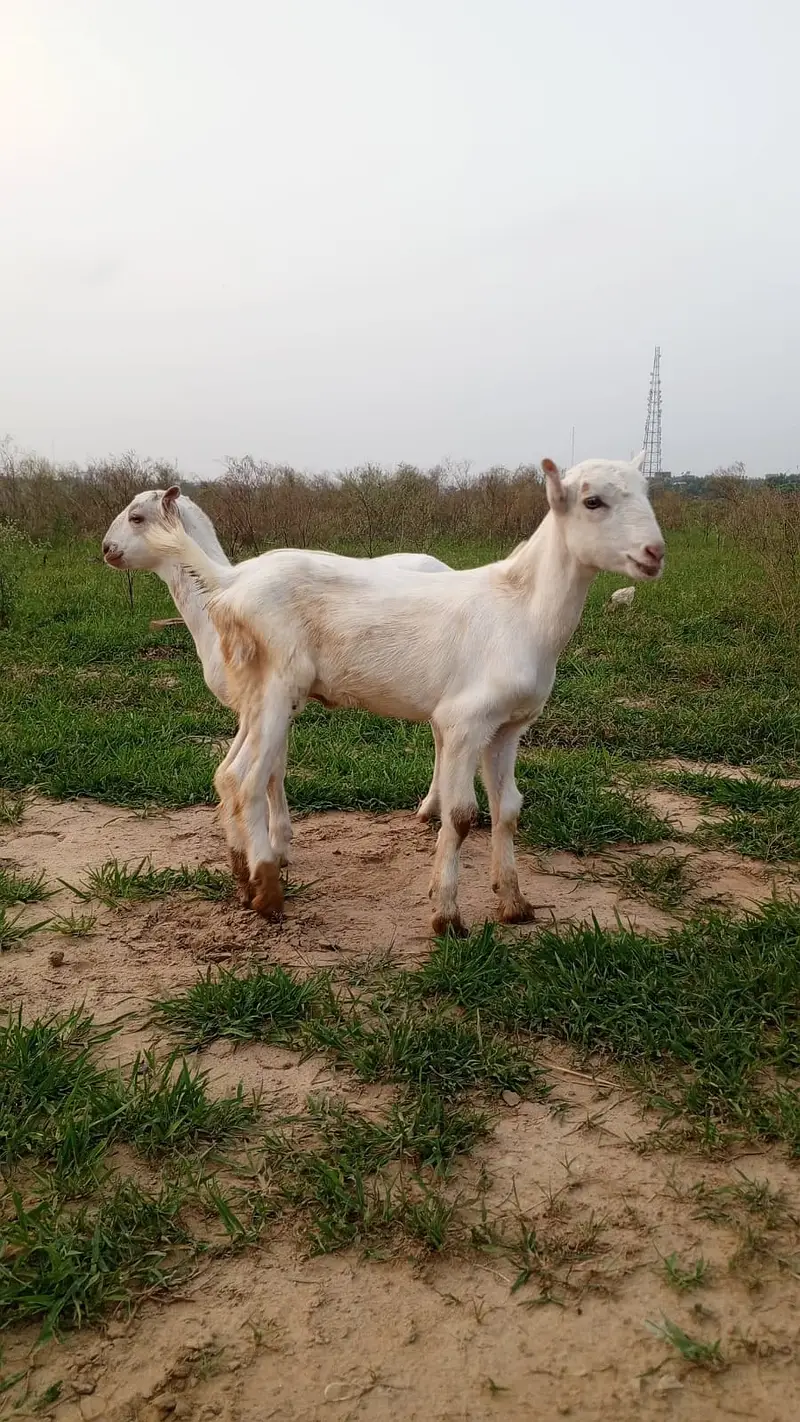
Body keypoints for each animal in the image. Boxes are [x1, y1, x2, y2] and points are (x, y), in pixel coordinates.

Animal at [101, 489, 450, 891]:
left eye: (137, 517)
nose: (106, 549)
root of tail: (443, 566)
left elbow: (269, 771)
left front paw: (276, 846)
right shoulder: (254, 707)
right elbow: (269, 769)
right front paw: (267, 846)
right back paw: (431, 808)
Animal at [139, 456, 665, 935]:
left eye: (646, 492)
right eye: (592, 501)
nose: (655, 552)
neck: (520, 609)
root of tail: (230, 586)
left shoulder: (509, 726)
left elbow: (508, 810)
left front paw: (514, 904)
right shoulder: (464, 721)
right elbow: (461, 815)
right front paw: (447, 915)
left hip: (258, 692)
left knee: (229, 773)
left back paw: (244, 880)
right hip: (277, 685)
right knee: (246, 779)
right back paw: (268, 893)